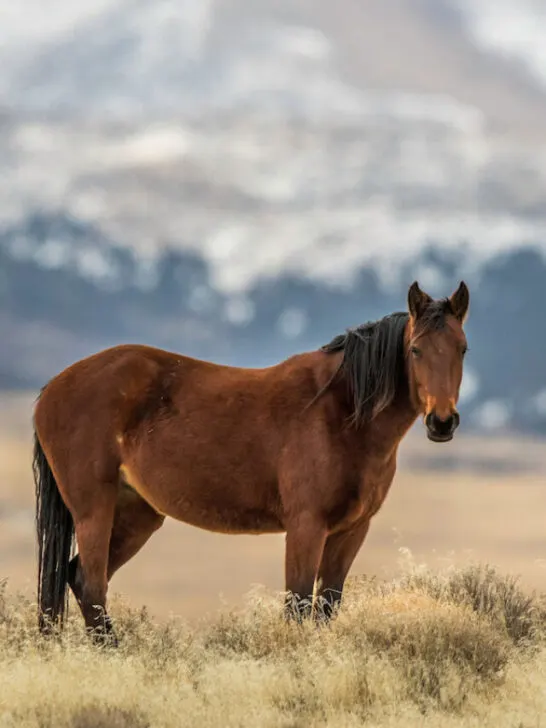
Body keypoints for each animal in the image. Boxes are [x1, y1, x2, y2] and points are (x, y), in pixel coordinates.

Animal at [32, 280, 469, 643]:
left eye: (462, 348)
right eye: (416, 349)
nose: (442, 422)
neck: (341, 412)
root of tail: (52, 388)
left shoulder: (351, 531)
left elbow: (326, 607)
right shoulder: (306, 526)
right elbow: (298, 606)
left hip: (137, 515)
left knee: (77, 579)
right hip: (94, 510)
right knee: (92, 586)